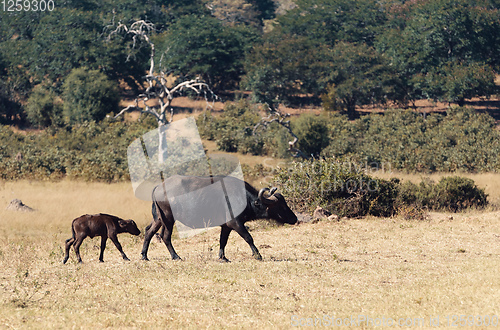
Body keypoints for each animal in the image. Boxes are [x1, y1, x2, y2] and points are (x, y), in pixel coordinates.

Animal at [140, 175, 296, 262]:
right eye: (280, 206)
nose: (294, 218)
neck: (244, 198)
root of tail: (159, 187)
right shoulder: (235, 223)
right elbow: (249, 238)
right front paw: (258, 255)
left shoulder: (226, 226)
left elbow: (223, 241)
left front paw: (223, 257)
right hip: (168, 219)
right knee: (165, 236)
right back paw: (175, 256)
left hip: (158, 219)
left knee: (149, 231)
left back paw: (144, 256)